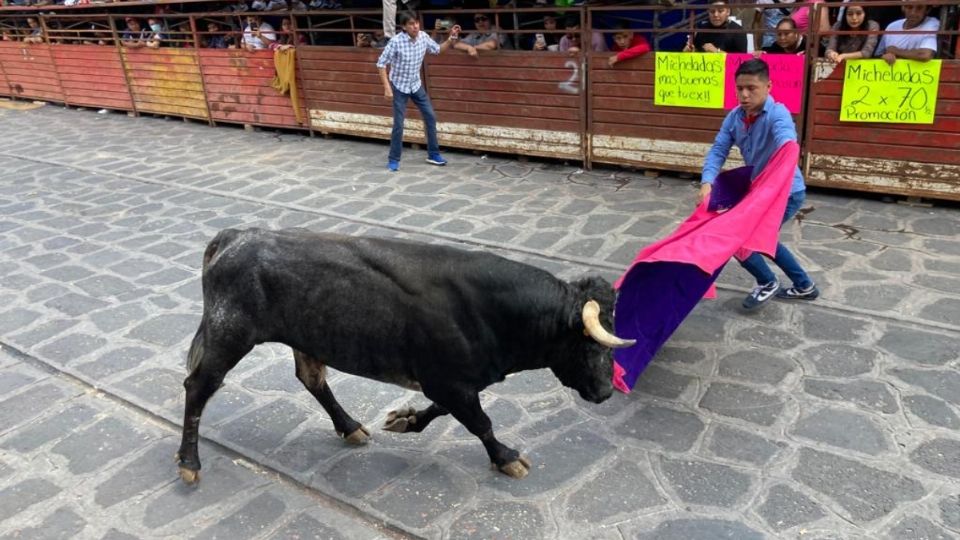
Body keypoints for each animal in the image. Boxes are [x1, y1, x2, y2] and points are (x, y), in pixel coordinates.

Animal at [176, 227, 632, 480]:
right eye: (591, 342)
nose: (606, 392)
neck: (491, 309)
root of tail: (236, 236)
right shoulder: (449, 381)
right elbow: (481, 423)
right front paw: (506, 458)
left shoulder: (451, 383)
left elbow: (445, 411)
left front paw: (405, 420)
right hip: (228, 335)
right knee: (198, 387)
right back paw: (189, 463)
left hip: (305, 336)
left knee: (312, 379)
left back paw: (350, 427)